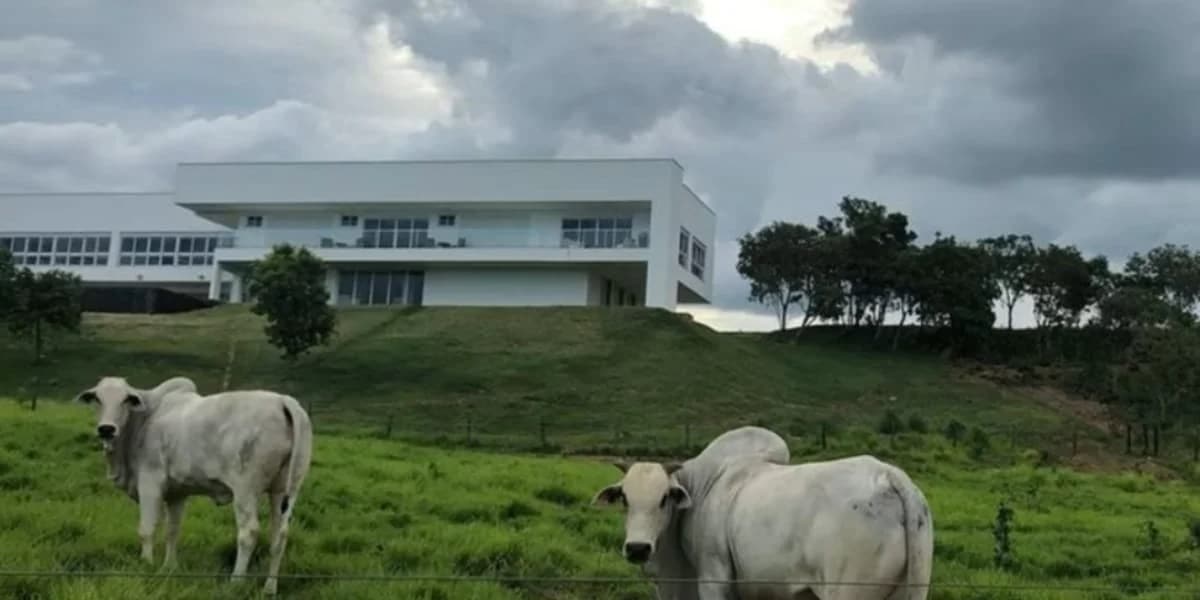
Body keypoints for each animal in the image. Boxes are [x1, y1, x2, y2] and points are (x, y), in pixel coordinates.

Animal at [75, 374, 314, 595]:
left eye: (126, 399)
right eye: (97, 398)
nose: (106, 429)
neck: (146, 417)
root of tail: (282, 400)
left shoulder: (150, 483)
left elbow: (147, 529)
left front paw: (146, 565)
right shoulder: (177, 494)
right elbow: (172, 530)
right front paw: (168, 567)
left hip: (245, 490)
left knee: (249, 533)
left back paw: (235, 582)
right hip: (284, 491)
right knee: (279, 536)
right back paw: (269, 588)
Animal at [595, 427, 931, 600]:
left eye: (665, 498)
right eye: (625, 498)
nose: (638, 548)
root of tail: (888, 476)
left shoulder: (713, 578)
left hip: (846, 592)